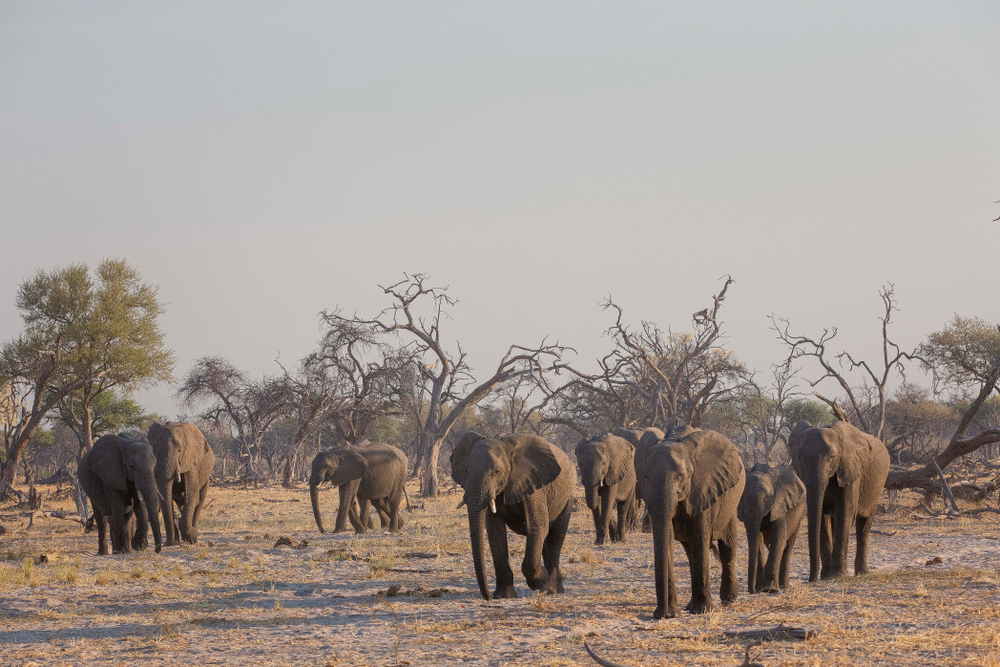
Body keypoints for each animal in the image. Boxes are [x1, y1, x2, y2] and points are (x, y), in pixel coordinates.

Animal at [451, 432, 575, 600]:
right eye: (466, 471)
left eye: (496, 472)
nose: (489, 597)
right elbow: (495, 532)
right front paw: (503, 596)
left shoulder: (534, 485)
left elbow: (537, 527)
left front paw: (540, 582)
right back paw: (554, 588)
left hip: (567, 496)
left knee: (555, 538)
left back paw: (551, 589)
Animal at [639, 429, 744, 618]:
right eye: (646, 477)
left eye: (681, 476)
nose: (663, 615)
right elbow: (668, 540)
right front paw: (673, 613)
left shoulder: (704, 489)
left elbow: (701, 539)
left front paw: (703, 610)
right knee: (690, 553)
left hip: (731, 504)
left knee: (727, 548)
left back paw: (727, 600)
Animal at [738, 463, 805, 593]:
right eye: (741, 498)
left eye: (768, 497)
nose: (752, 591)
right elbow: (757, 540)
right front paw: (760, 588)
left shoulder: (779, 505)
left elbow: (778, 538)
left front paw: (770, 589)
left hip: (800, 515)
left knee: (787, 547)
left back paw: (784, 586)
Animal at [788, 419, 890, 581]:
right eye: (799, 458)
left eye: (832, 456)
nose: (811, 580)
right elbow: (822, 516)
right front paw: (826, 576)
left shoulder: (851, 470)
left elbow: (845, 511)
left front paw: (836, 576)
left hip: (877, 487)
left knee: (864, 526)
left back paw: (862, 573)